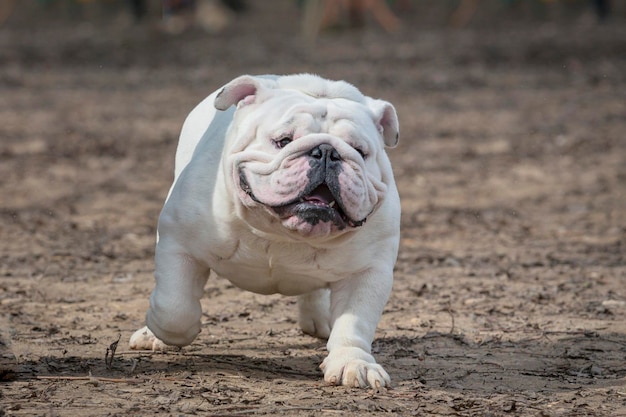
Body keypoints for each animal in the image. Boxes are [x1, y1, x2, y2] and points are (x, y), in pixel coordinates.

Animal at [130, 73, 400, 388]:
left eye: (360, 151)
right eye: (282, 141)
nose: (327, 152)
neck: (280, 231)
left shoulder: (369, 271)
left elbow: (354, 323)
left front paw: (353, 363)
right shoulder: (178, 243)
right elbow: (174, 308)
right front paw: (160, 328)